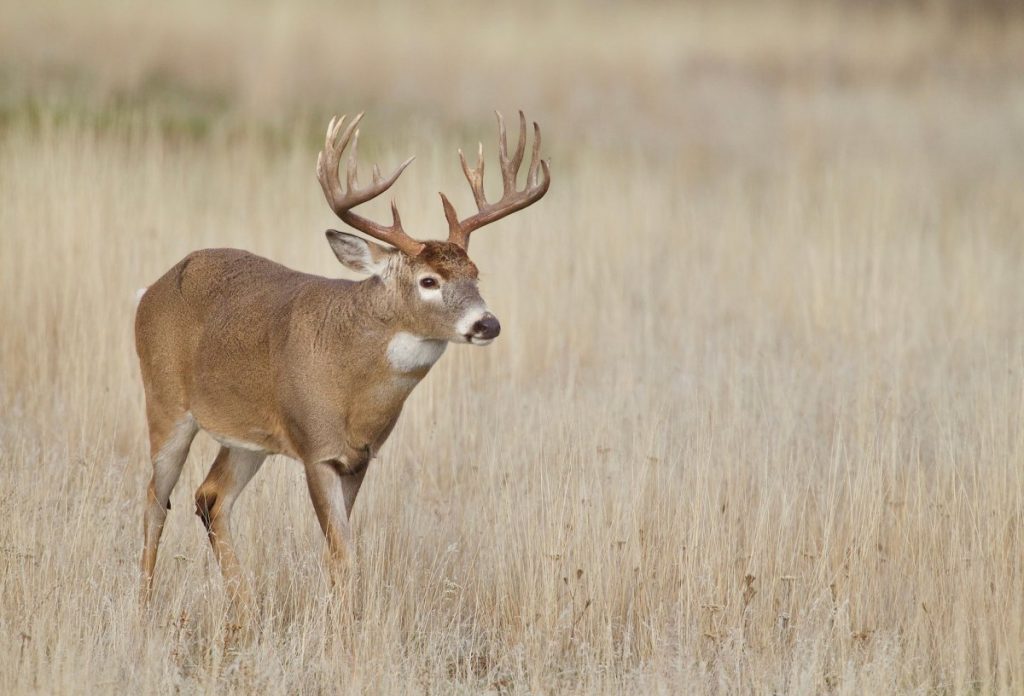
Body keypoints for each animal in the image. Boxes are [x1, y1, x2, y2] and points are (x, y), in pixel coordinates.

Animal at [135, 111, 550, 606]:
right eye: (429, 281)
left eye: (475, 274)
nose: (487, 324)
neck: (353, 381)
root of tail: (150, 291)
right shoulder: (317, 449)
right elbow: (344, 556)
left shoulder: (359, 458)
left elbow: (339, 556)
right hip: (165, 402)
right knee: (156, 499)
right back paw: (145, 604)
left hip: (245, 436)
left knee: (211, 496)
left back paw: (245, 609)